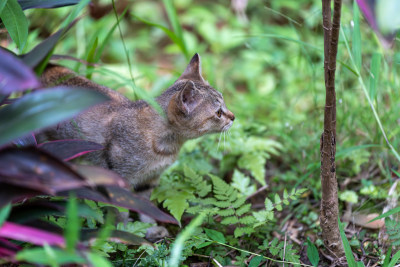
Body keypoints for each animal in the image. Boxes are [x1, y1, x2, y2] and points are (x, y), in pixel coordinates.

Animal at [38, 53, 234, 240]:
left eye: (224, 103)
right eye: (218, 113)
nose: (233, 116)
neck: (166, 146)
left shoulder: (149, 180)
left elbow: (146, 207)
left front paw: (150, 228)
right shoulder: (119, 180)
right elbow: (122, 211)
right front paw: (124, 231)